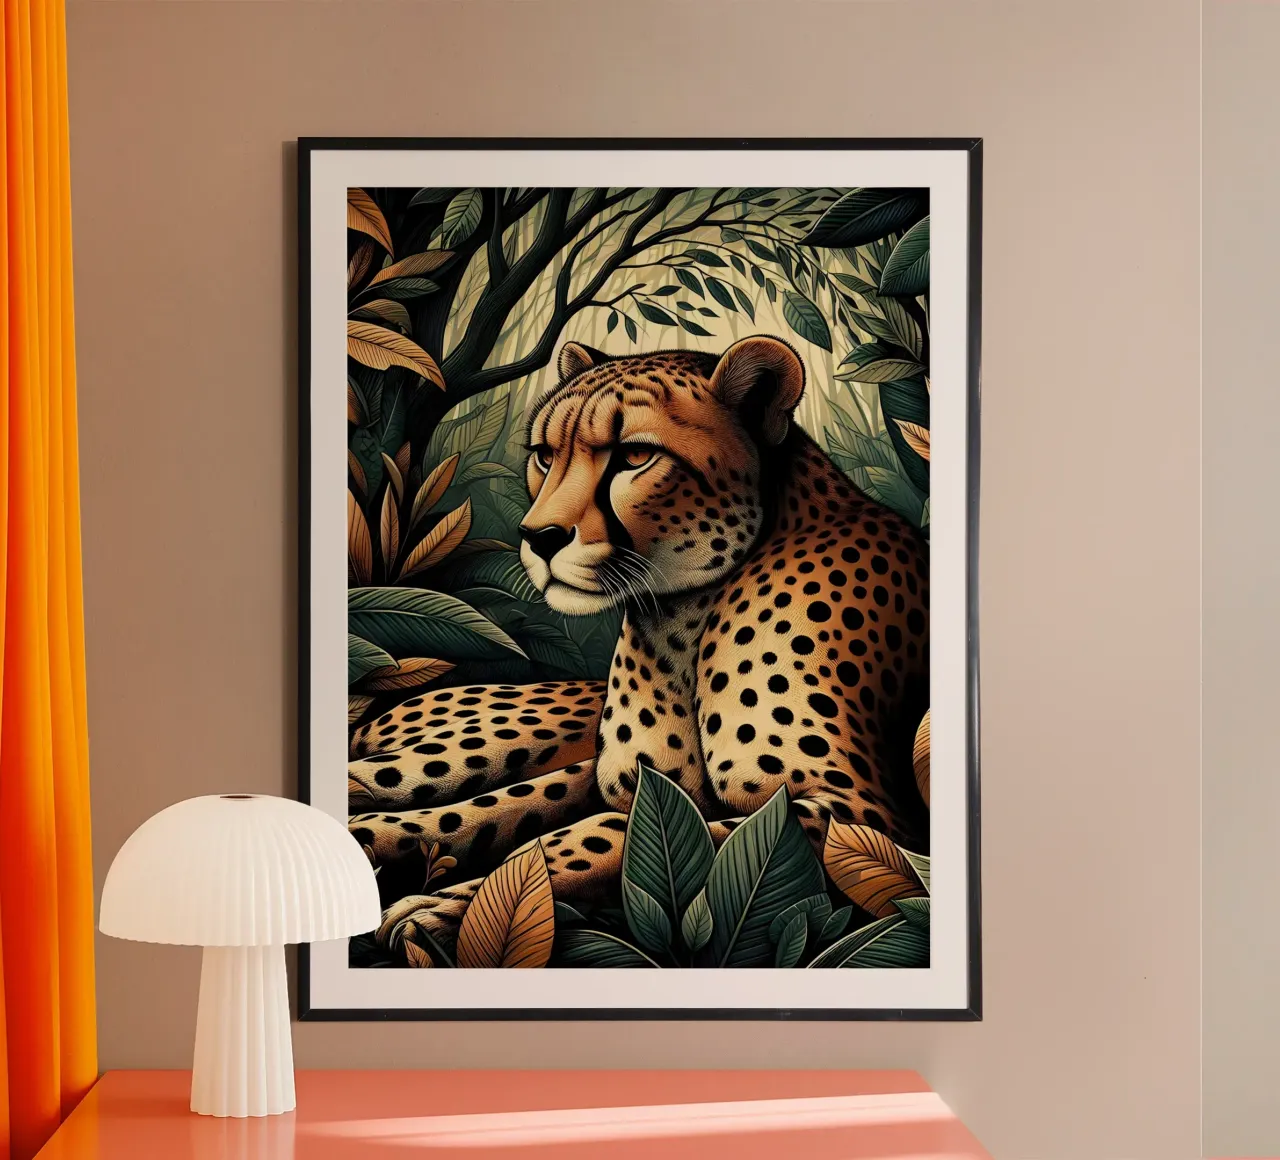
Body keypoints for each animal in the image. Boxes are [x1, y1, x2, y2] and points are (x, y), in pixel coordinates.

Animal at [349, 335, 930, 956]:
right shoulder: (617, 779)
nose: (537, 537)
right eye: (546, 456)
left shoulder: (860, 816)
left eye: (633, 457)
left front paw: (451, 906)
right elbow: (504, 805)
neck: (685, 616)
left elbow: (606, 835)